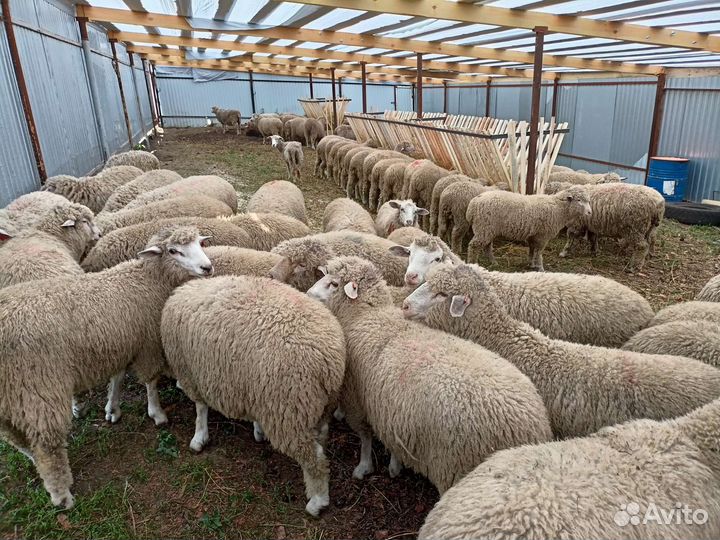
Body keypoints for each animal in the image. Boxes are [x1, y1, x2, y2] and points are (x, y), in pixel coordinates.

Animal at [0, 225, 213, 508]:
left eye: (200, 243)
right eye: (173, 250)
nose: (207, 268)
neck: (148, 279)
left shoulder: (118, 343)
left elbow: (117, 377)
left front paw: (112, 408)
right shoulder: (147, 342)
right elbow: (150, 381)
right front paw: (156, 413)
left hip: (9, 395)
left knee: (14, 438)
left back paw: (35, 464)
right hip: (38, 387)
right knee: (47, 446)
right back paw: (62, 495)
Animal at [161, 275, 345, 515]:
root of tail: (329, 360)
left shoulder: (192, 372)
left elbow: (200, 409)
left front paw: (199, 438)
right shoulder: (254, 385)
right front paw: (258, 430)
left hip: (290, 410)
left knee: (313, 459)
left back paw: (317, 502)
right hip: (318, 405)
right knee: (321, 439)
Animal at [307, 256, 552, 493]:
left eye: (334, 283)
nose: (308, 295)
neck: (367, 314)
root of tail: (529, 428)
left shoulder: (355, 398)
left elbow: (365, 437)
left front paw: (363, 467)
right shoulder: (390, 409)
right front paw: (395, 465)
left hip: (455, 466)